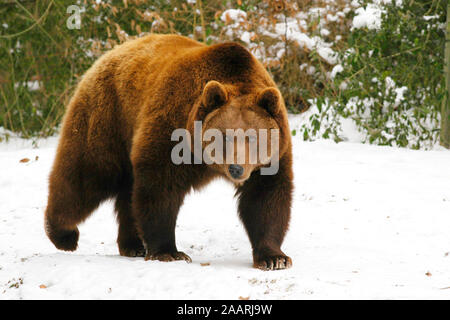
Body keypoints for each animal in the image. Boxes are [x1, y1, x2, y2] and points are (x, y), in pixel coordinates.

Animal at [44, 34, 294, 270]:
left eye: (253, 137)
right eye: (223, 136)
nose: (236, 168)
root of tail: (109, 54)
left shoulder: (271, 159)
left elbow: (266, 198)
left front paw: (274, 258)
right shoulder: (171, 129)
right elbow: (160, 189)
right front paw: (169, 252)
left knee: (125, 192)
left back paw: (132, 245)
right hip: (108, 115)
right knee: (88, 173)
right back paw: (63, 234)